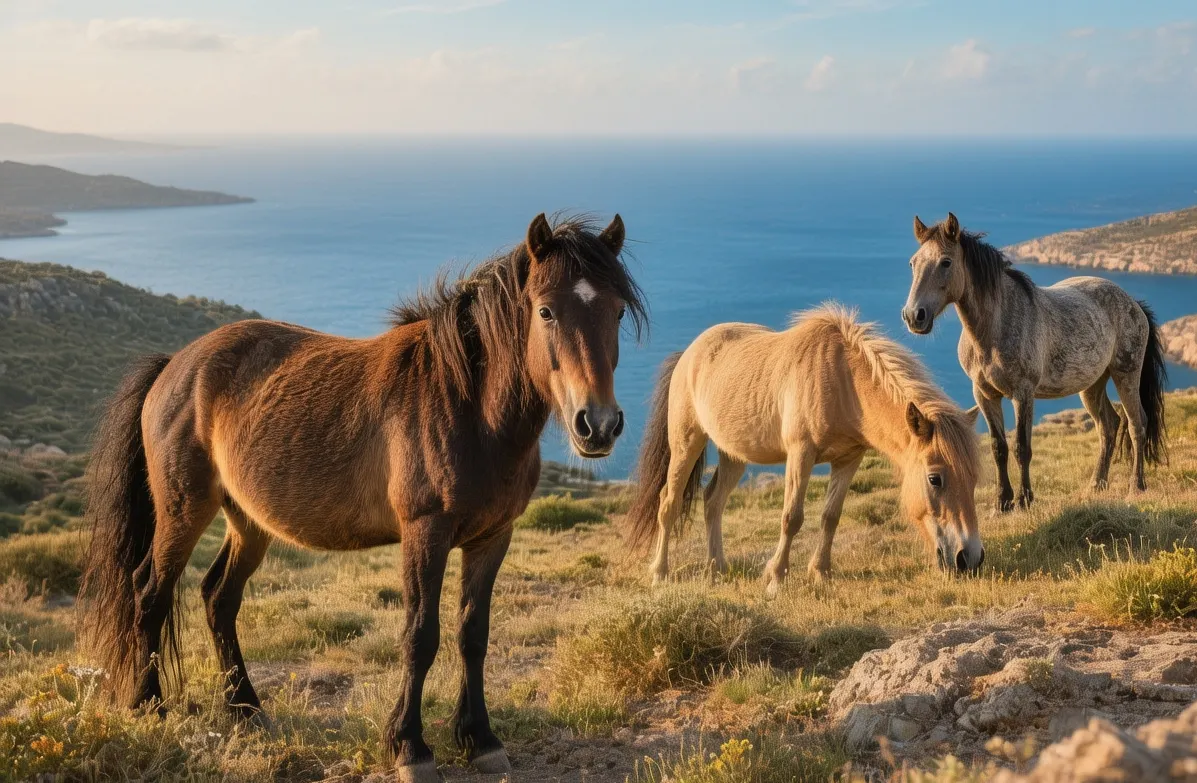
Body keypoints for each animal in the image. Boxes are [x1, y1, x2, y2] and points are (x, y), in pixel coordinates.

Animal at [77, 213, 646, 783]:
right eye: (546, 310)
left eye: (617, 310)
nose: (598, 425)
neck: (468, 407)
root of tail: (176, 364)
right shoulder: (424, 534)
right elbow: (420, 636)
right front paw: (410, 747)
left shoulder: (492, 537)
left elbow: (473, 634)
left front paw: (479, 739)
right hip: (184, 510)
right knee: (149, 592)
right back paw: (149, 706)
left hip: (249, 522)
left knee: (219, 597)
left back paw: (247, 710)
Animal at [625, 303, 983, 595]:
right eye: (935, 479)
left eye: (974, 478)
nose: (970, 558)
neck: (843, 380)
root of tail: (688, 353)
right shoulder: (801, 454)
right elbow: (792, 518)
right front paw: (776, 578)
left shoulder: (849, 458)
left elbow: (830, 516)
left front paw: (820, 572)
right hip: (686, 443)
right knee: (668, 503)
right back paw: (660, 574)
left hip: (734, 454)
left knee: (713, 501)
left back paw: (717, 569)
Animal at [902, 213, 1167, 512]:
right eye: (913, 263)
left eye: (946, 262)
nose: (914, 316)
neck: (995, 328)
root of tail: (1133, 302)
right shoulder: (984, 394)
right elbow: (998, 447)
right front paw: (1002, 502)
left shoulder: (1023, 394)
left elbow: (1022, 448)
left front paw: (1025, 499)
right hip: (1092, 385)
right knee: (1108, 425)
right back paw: (1097, 485)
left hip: (1126, 374)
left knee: (1137, 424)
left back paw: (1136, 486)